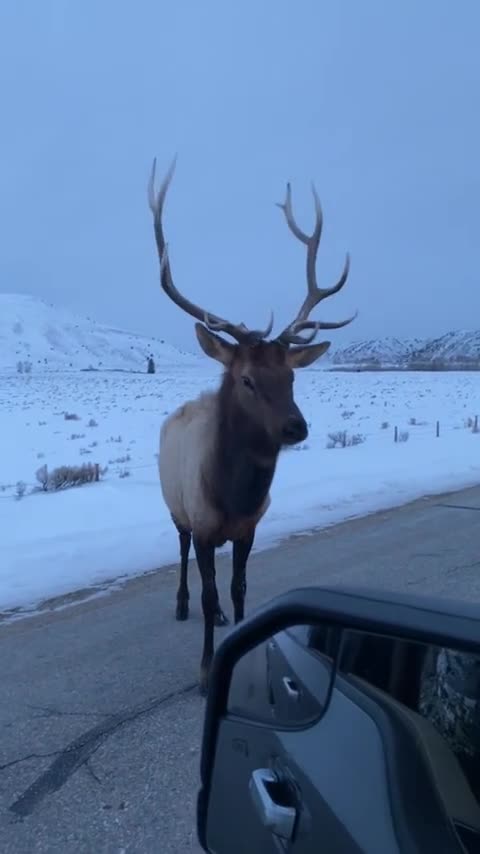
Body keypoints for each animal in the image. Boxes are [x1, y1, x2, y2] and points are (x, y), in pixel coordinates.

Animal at [147, 157, 357, 695]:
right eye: (246, 378)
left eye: (291, 376)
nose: (296, 427)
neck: (232, 495)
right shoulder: (203, 523)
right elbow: (207, 591)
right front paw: (206, 670)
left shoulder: (249, 527)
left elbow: (240, 588)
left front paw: (243, 641)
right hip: (175, 508)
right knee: (182, 555)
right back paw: (181, 603)